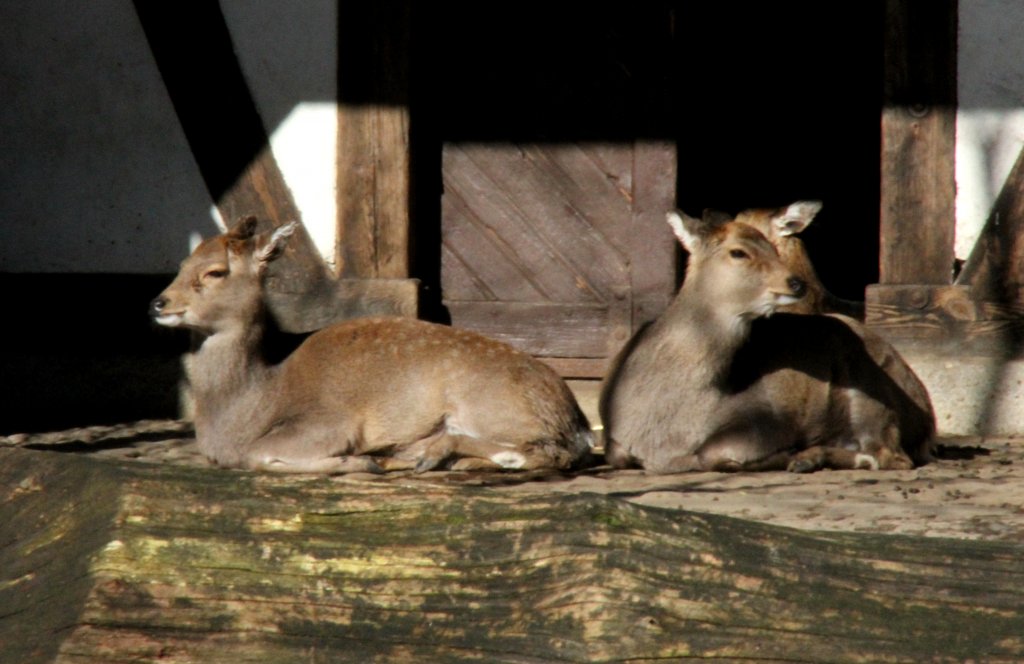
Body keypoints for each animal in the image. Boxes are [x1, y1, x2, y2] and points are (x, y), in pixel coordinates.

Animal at [154, 218, 598, 471]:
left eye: (215, 272)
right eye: (181, 263)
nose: (159, 302)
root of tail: (576, 417)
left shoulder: (330, 421)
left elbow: (258, 455)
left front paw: (361, 461)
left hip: (488, 405)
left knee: (551, 452)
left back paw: (429, 455)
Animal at [598, 206, 937, 471]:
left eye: (773, 248)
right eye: (738, 252)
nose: (796, 283)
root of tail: (927, 418)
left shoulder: (768, 416)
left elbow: (713, 454)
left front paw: (787, 453)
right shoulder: (614, 441)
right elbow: (618, 455)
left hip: (871, 397)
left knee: (892, 455)